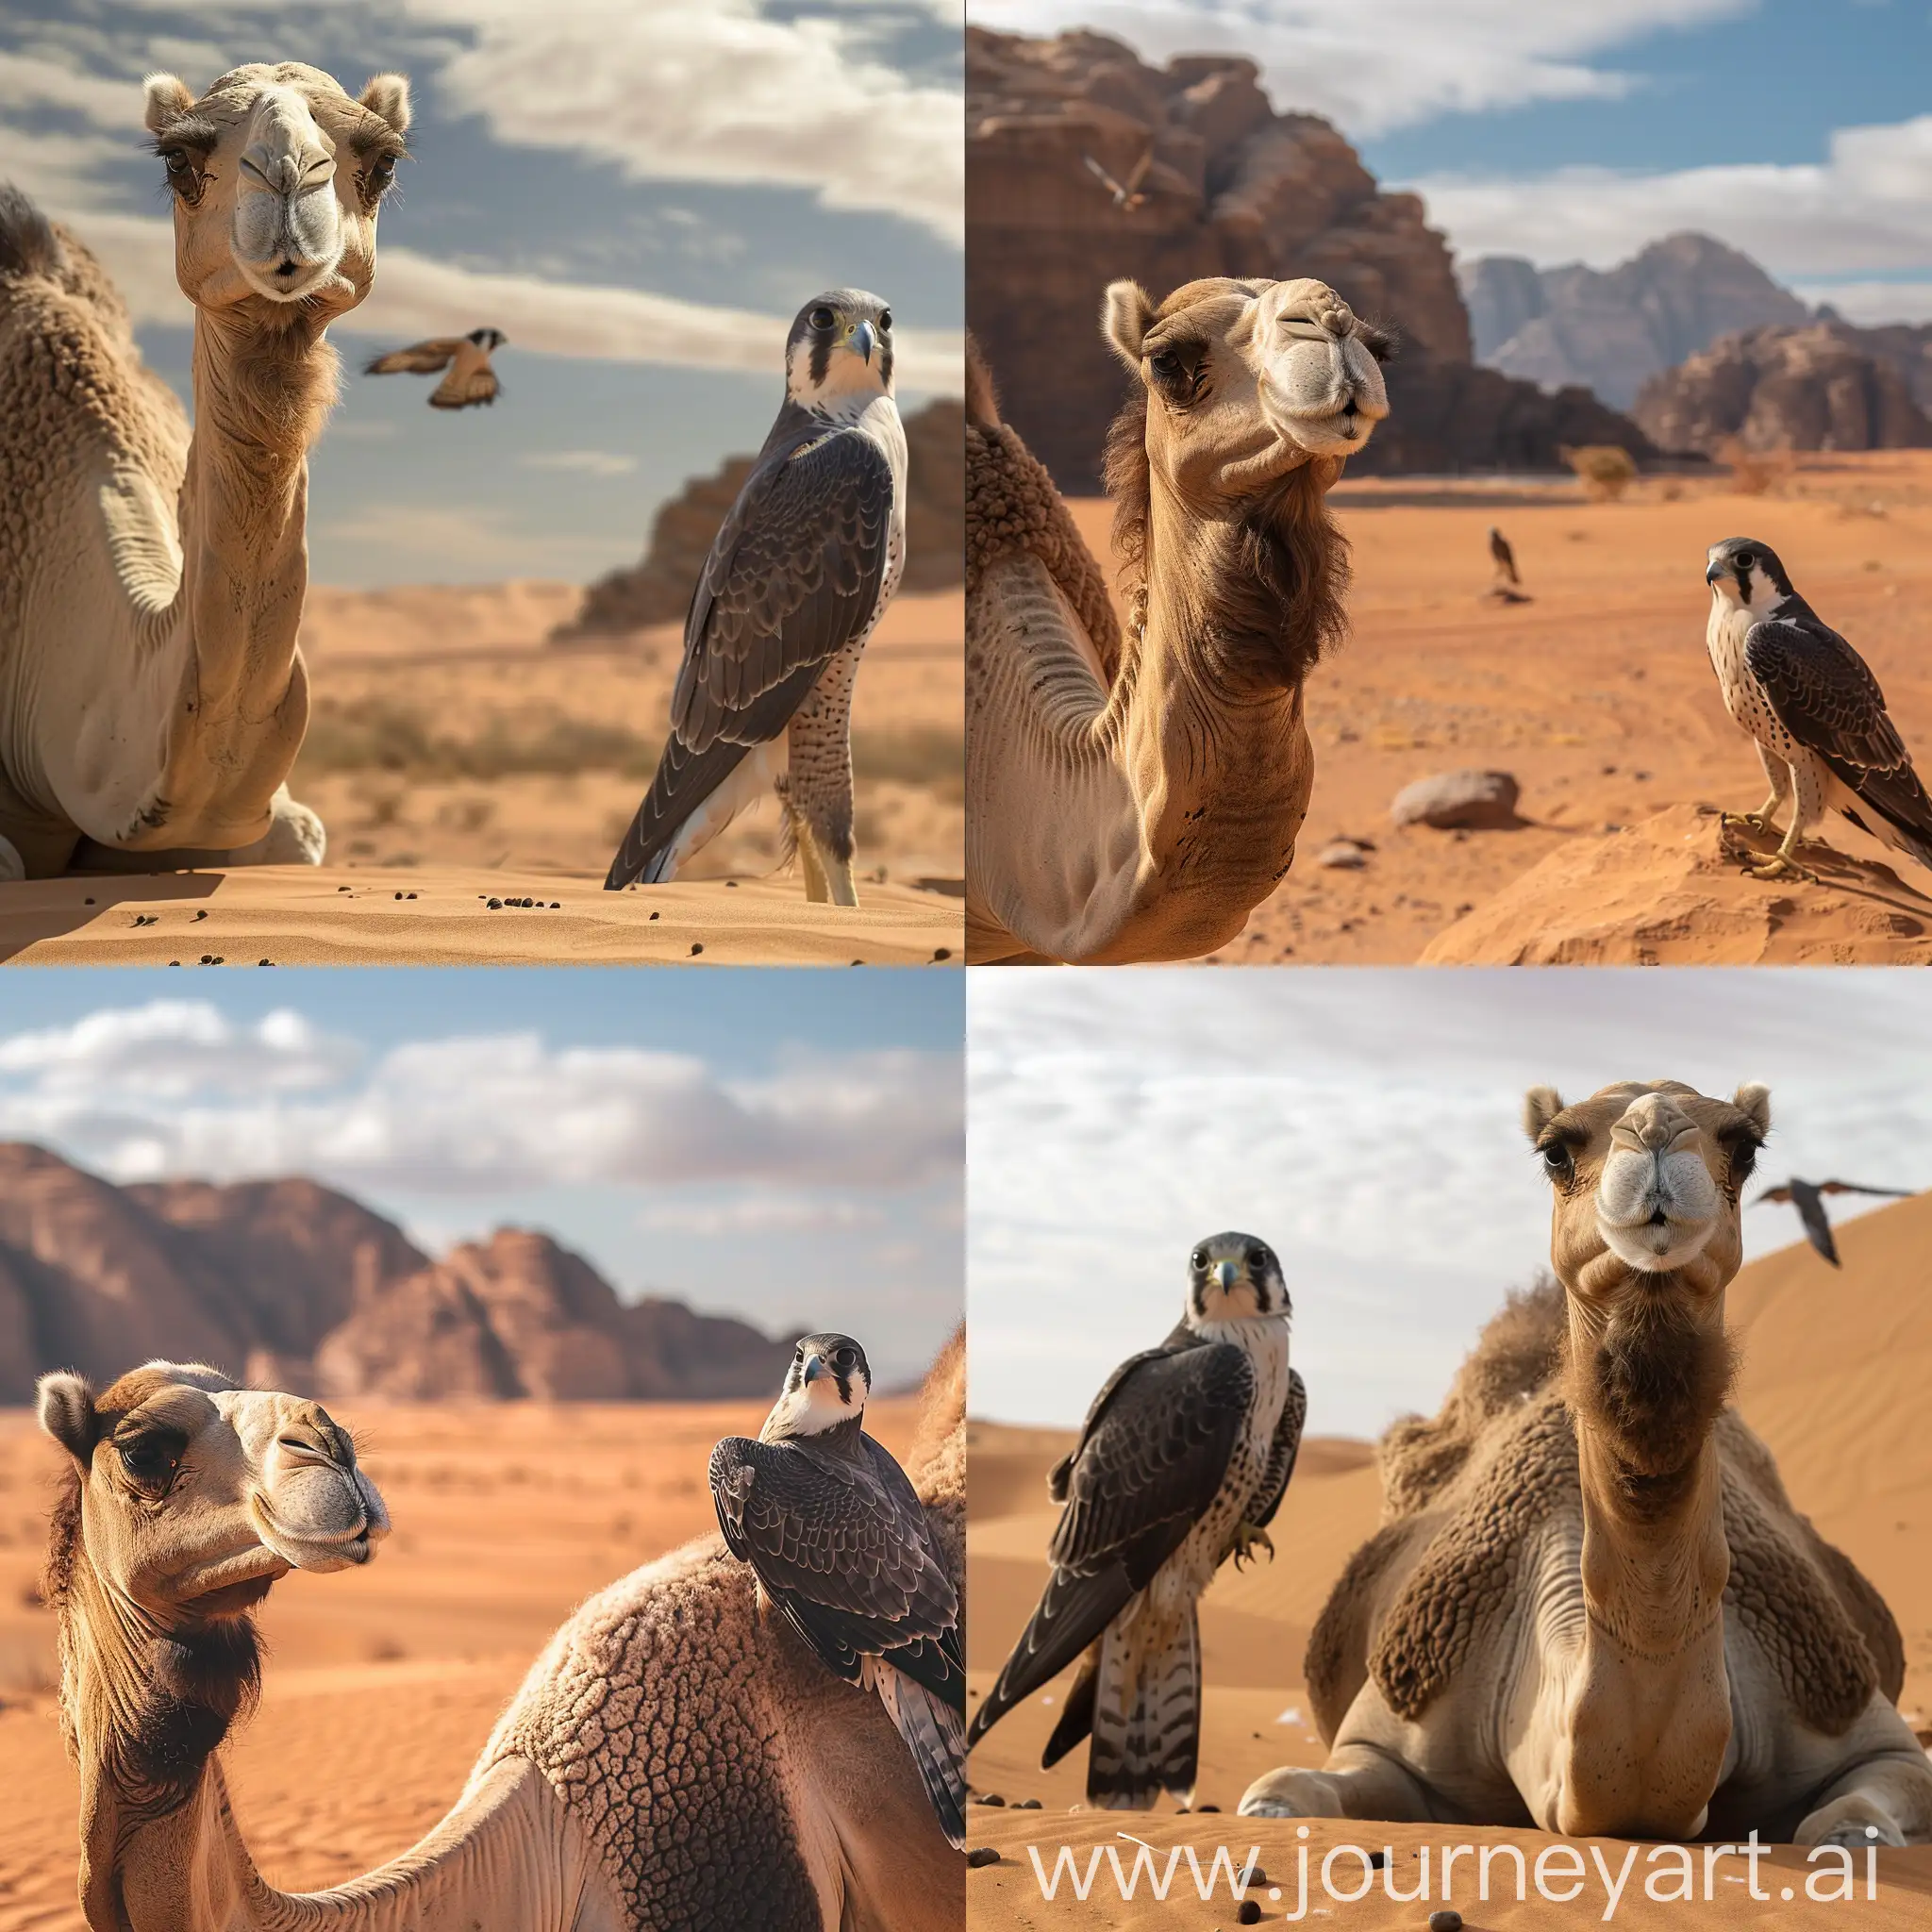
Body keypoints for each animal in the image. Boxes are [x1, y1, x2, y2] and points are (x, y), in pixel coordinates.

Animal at [1236, 1081, 1932, 1846]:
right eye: (1556, 1152)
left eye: (1745, 1147)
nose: (1655, 1130)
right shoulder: (1385, 1730)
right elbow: (1278, 1792)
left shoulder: (1863, 1728)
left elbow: (1849, 1824)